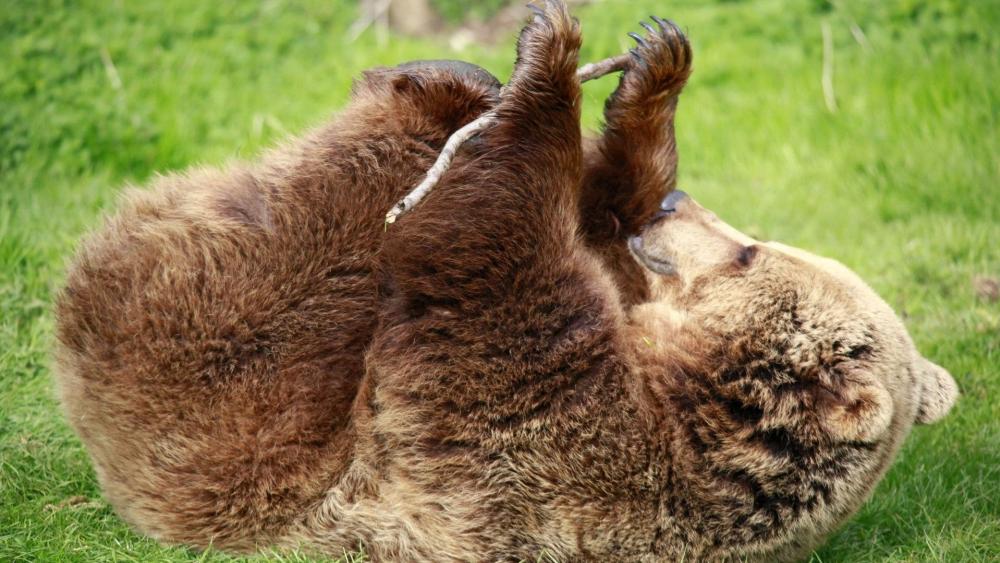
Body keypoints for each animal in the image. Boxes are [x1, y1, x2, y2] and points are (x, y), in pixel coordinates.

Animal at [52, 2, 952, 560]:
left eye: (750, 253)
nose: (676, 206)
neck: (682, 393)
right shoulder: (619, 318)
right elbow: (594, 223)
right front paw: (652, 69)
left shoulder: (542, 445)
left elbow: (487, 258)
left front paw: (549, 62)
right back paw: (452, 76)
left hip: (228, 397)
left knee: (313, 241)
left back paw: (431, 90)